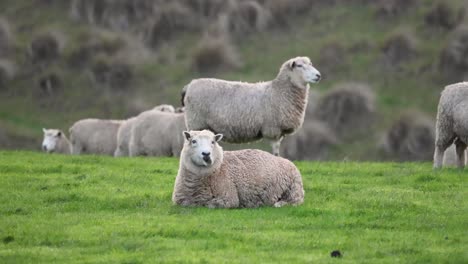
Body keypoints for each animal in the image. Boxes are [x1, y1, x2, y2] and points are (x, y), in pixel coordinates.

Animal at [174, 129, 306, 208]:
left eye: (213, 142)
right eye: (193, 141)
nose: (206, 154)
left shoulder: (228, 199)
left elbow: (209, 205)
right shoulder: (180, 201)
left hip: (293, 190)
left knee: (294, 201)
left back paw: (278, 203)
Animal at [181, 55, 320, 155]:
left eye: (311, 64)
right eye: (300, 65)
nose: (318, 75)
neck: (278, 91)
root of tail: (190, 85)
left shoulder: (278, 131)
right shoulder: (272, 129)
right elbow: (275, 152)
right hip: (196, 122)